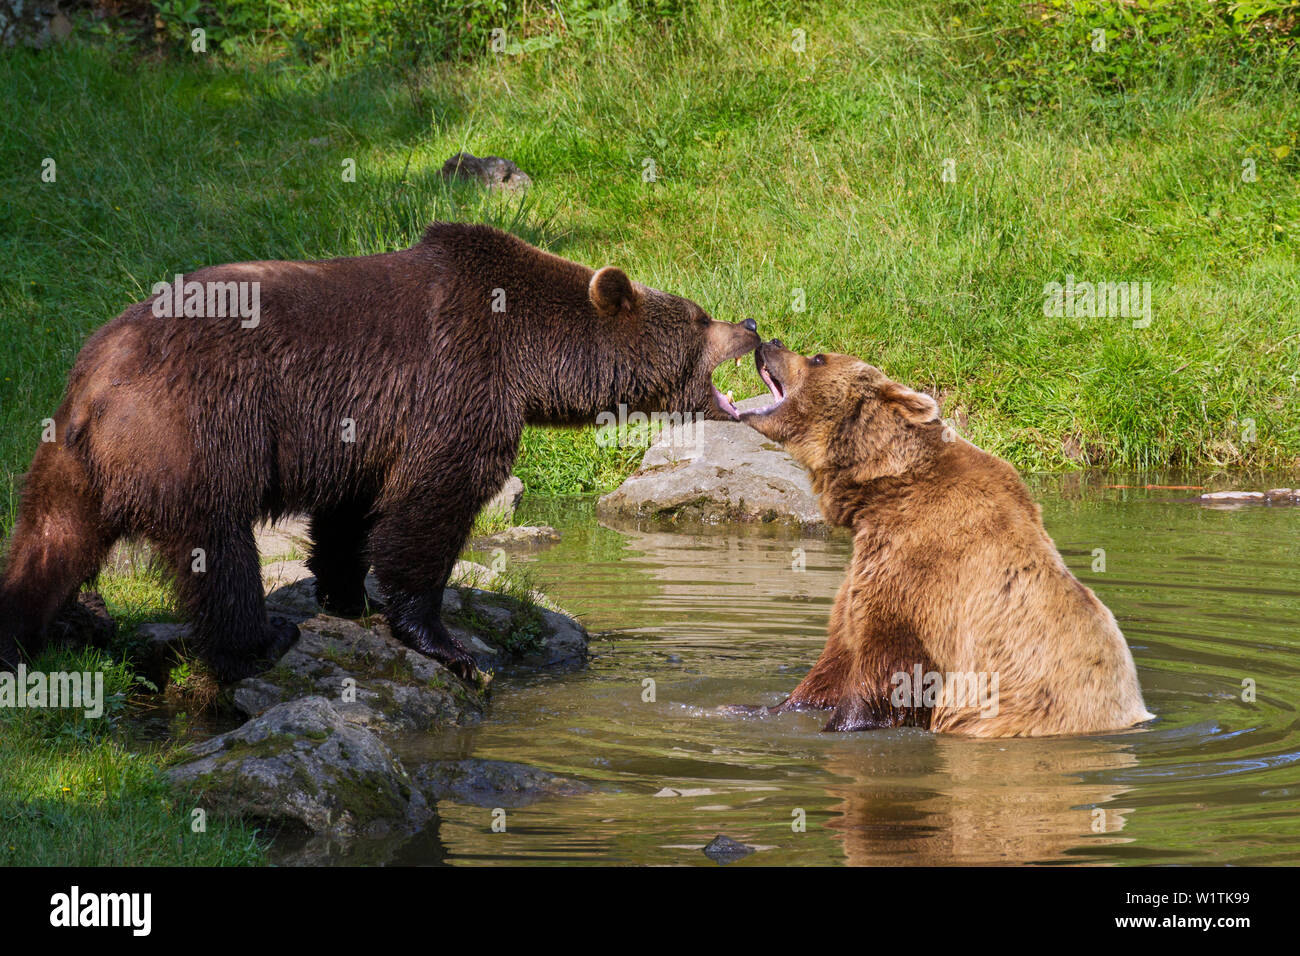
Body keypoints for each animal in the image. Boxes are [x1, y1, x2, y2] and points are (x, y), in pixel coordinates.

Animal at [0, 222, 761, 683]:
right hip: (195, 432)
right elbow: (430, 511)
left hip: (70, 457)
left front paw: (348, 594)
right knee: (217, 543)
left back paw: (28, 634)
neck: (531, 356)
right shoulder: (456, 388)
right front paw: (446, 644)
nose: (753, 324)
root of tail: (98, 376)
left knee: (52, 540)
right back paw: (262, 640)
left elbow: (350, 513)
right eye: (701, 317)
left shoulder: (366, 428)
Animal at [735, 340, 1152, 737]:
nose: (770, 341)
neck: (883, 490)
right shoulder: (865, 569)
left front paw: (841, 723)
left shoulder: (921, 575)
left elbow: (885, 668)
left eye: (819, 358)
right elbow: (834, 657)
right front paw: (755, 707)